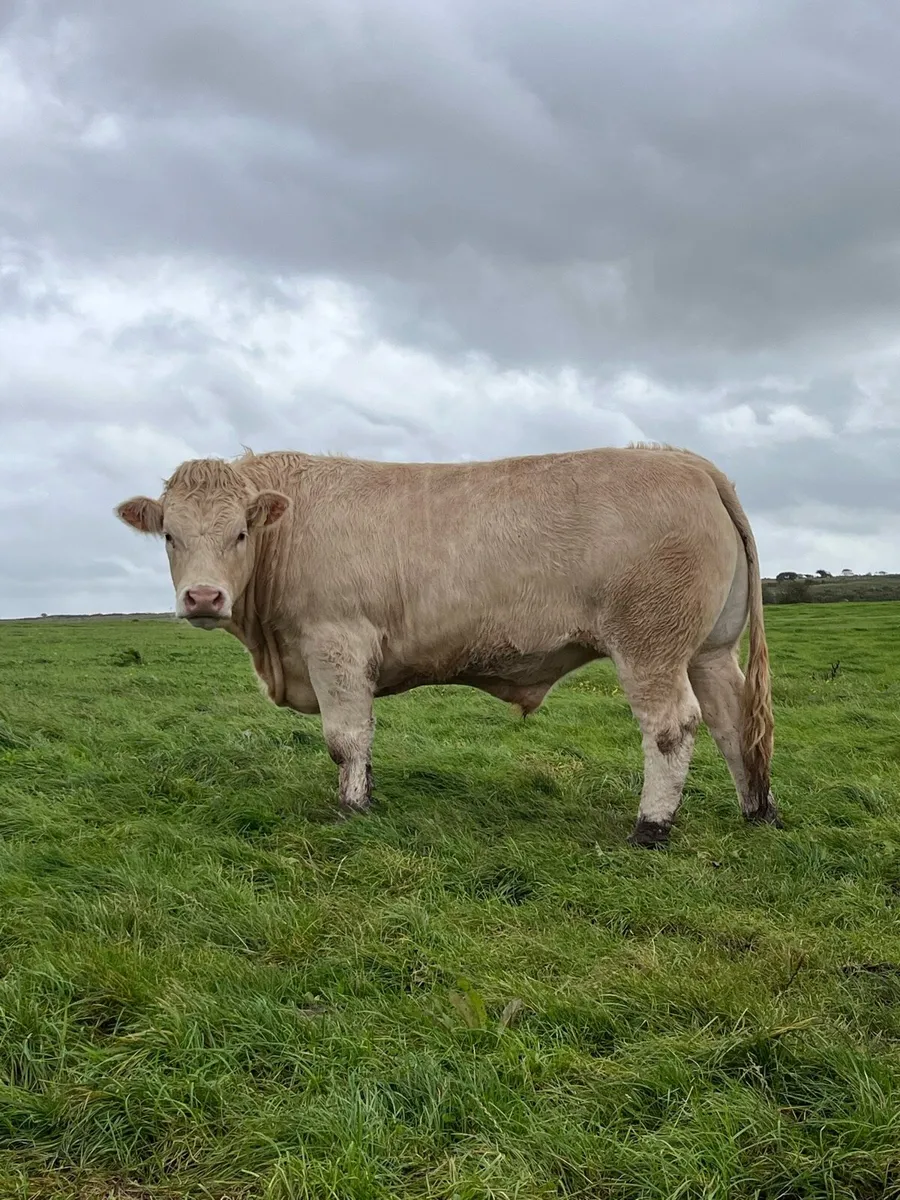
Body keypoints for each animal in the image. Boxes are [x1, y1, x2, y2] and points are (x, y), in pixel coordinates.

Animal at [114, 443, 779, 846]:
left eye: (240, 532)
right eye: (170, 535)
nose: (203, 597)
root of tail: (686, 460)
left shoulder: (336, 642)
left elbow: (344, 736)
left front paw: (351, 810)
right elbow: (364, 736)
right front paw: (367, 793)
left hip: (650, 643)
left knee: (672, 726)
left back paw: (651, 826)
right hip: (709, 651)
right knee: (732, 720)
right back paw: (757, 810)